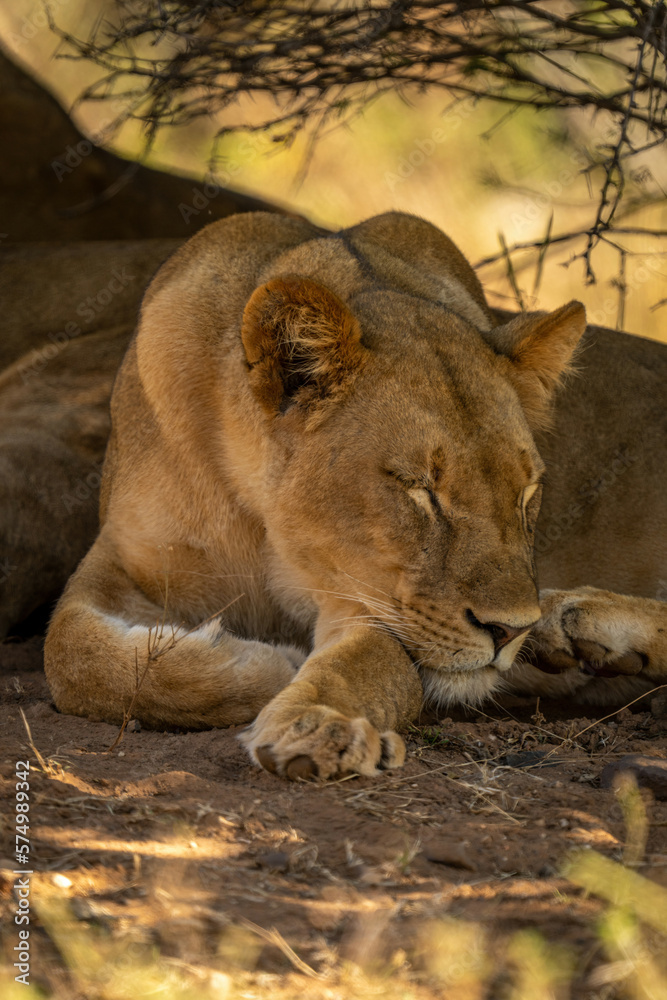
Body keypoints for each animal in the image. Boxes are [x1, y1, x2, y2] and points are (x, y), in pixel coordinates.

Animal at [42, 211, 667, 780]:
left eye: (528, 490)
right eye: (419, 489)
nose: (511, 630)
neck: (263, 523)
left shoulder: (374, 604)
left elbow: (360, 666)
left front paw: (316, 720)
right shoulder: (122, 561)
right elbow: (74, 656)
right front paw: (259, 664)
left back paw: (584, 623)